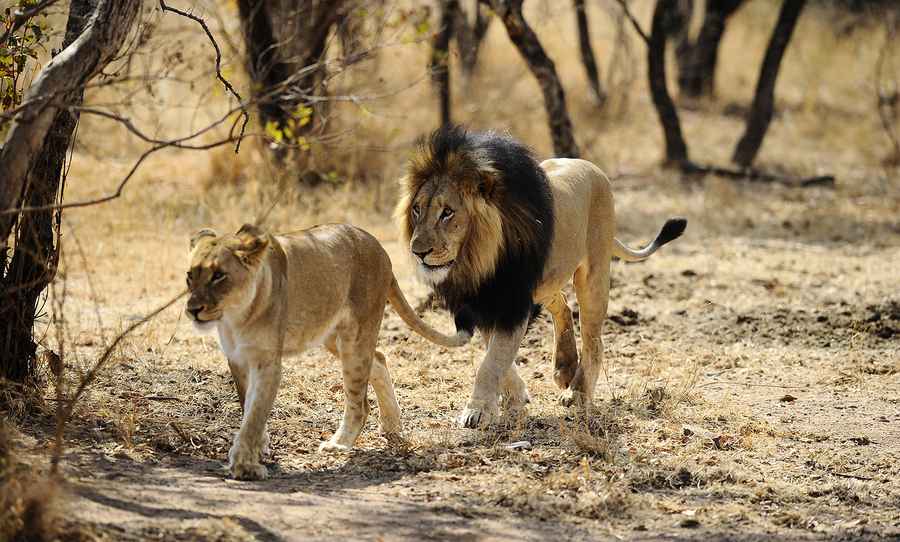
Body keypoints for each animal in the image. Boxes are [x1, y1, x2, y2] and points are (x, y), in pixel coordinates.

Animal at [187, 222, 474, 480]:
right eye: (190, 276)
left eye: (219, 275)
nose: (192, 309)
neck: (236, 315)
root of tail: (377, 245)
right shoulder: (237, 359)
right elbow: (247, 405)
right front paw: (260, 447)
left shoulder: (267, 362)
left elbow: (255, 413)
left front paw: (244, 466)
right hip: (332, 337)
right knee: (379, 359)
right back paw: (392, 426)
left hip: (354, 337)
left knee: (360, 403)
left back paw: (339, 444)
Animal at [398, 127, 684, 430]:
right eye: (417, 209)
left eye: (447, 212)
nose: (418, 252)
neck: (477, 258)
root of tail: (595, 169)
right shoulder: (487, 302)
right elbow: (498, 357)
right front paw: (516, 397)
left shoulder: (512, 302)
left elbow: (491, 362)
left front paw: (477, 411)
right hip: (548, 280)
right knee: (563, 305)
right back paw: (564, 367)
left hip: (593, 275)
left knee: (594, 339)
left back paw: (578, 391)